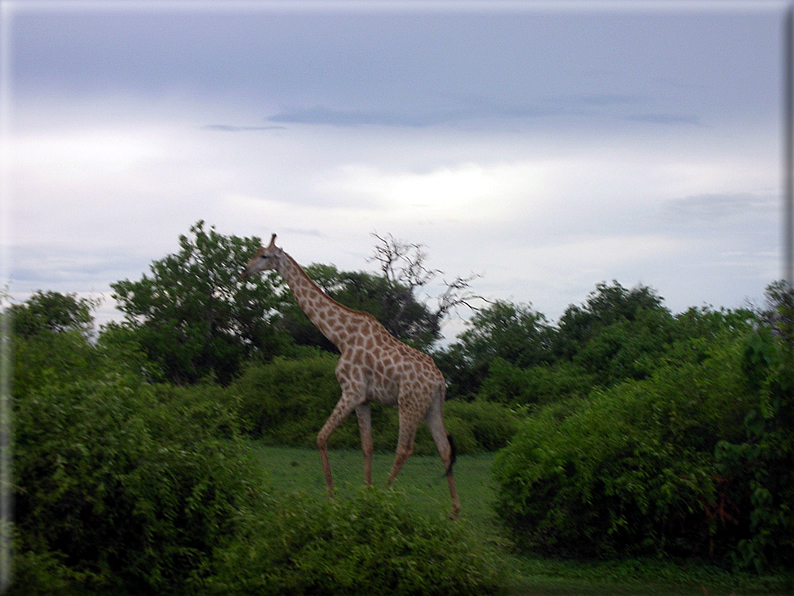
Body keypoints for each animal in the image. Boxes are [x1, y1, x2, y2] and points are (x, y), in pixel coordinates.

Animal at [243, 234, 464, 516]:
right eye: (256, 251)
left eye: (264, 256)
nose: (245, 270)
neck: (341, 337)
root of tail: (440, 382)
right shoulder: (364, 399)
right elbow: (367, 447)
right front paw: (365, 495)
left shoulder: (351, 391)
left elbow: (321, 437)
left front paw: (333, 495)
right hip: (431, 407)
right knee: (445, 449)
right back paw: (455, 512)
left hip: (409, 404)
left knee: (404, 449)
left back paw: (384, 495)